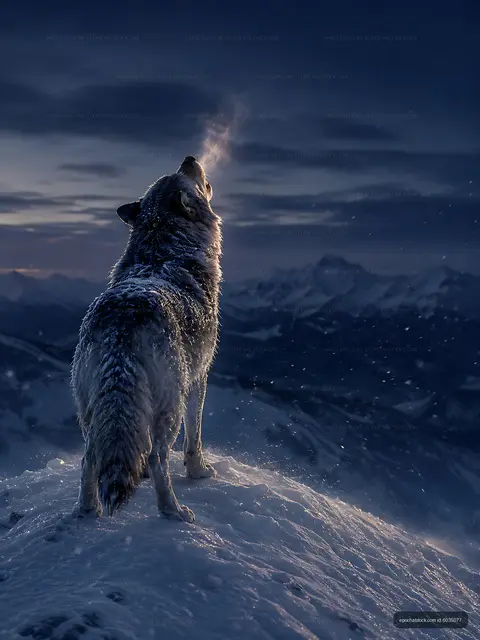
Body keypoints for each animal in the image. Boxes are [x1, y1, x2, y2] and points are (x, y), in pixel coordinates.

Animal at [71, 156, 222, 523]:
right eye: (184, 175)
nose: (189, 158)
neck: (163, 252)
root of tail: (121, 325)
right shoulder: (200, 377)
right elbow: (195, 438)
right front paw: (199, 473)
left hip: (90, 411)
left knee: (88, 459)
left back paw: (88, 512)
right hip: (170, 406)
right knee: (156, 458)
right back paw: (175, 512)